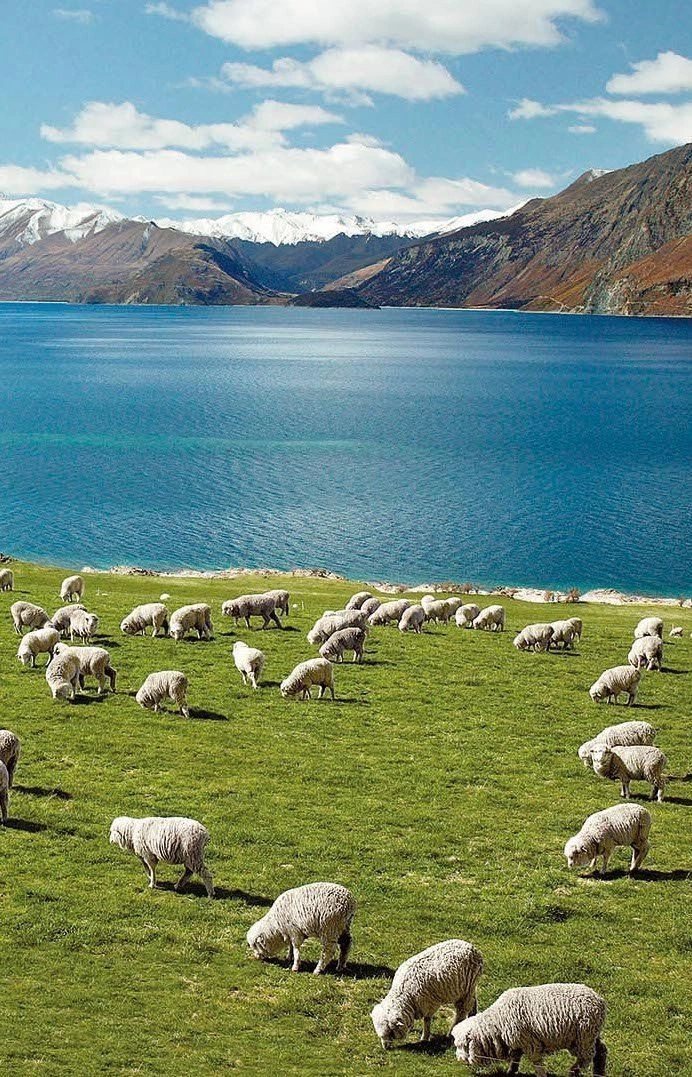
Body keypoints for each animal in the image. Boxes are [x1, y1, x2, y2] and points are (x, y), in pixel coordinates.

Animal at [452, 983, 607, 1077]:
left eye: (464, 1045)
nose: (459, 1059)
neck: (498, 1021)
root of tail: (599, 1000)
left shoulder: (531, 1043)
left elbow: (537, 1064)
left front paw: (541, 1074)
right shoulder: (517, 1041)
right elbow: (515, 1059)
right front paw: (511, 1072)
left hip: (584, 1036)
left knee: (586, 1057)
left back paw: (573, 1071)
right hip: (589, 1035)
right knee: (601, 1051)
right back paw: (598, 1073)